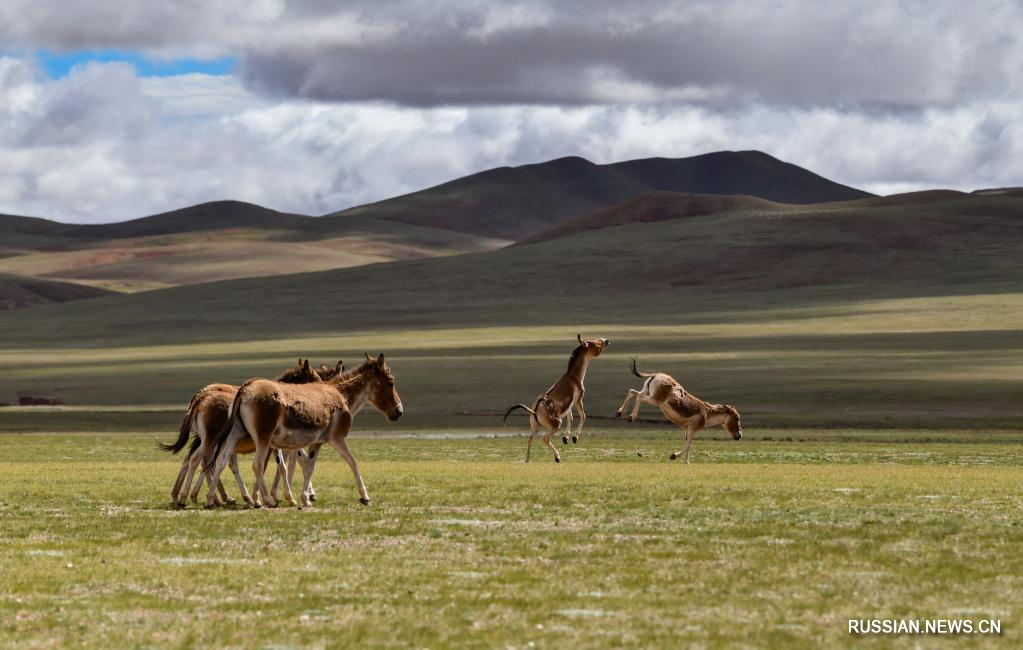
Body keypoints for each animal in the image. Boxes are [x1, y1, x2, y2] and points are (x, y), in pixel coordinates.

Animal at [204, 356, 403, 507]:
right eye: (391, 382)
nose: (399, 412)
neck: (341, 395)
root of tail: (245, 389)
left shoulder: (312, 443)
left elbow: (306, 466)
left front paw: (302, 498)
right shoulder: (336, 438)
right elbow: (352, 462)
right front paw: (364, 497)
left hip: (235, 435)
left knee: (221, 462)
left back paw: (211, 500)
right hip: (262, 438)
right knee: (256, 465)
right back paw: (265, 500)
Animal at [613, 360, 744, 462]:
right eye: (737, 418)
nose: (740, 436)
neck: (706, 414)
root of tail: (657, 375)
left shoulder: (687, 429)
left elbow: (689, 445)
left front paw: (686, 462)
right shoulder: (691, 428)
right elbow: (689, 444)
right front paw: (674, 456)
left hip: (648, 392)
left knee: (632, 392)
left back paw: (620, 412)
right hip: (655, 399)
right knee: (639, 397)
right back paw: (631, 417)